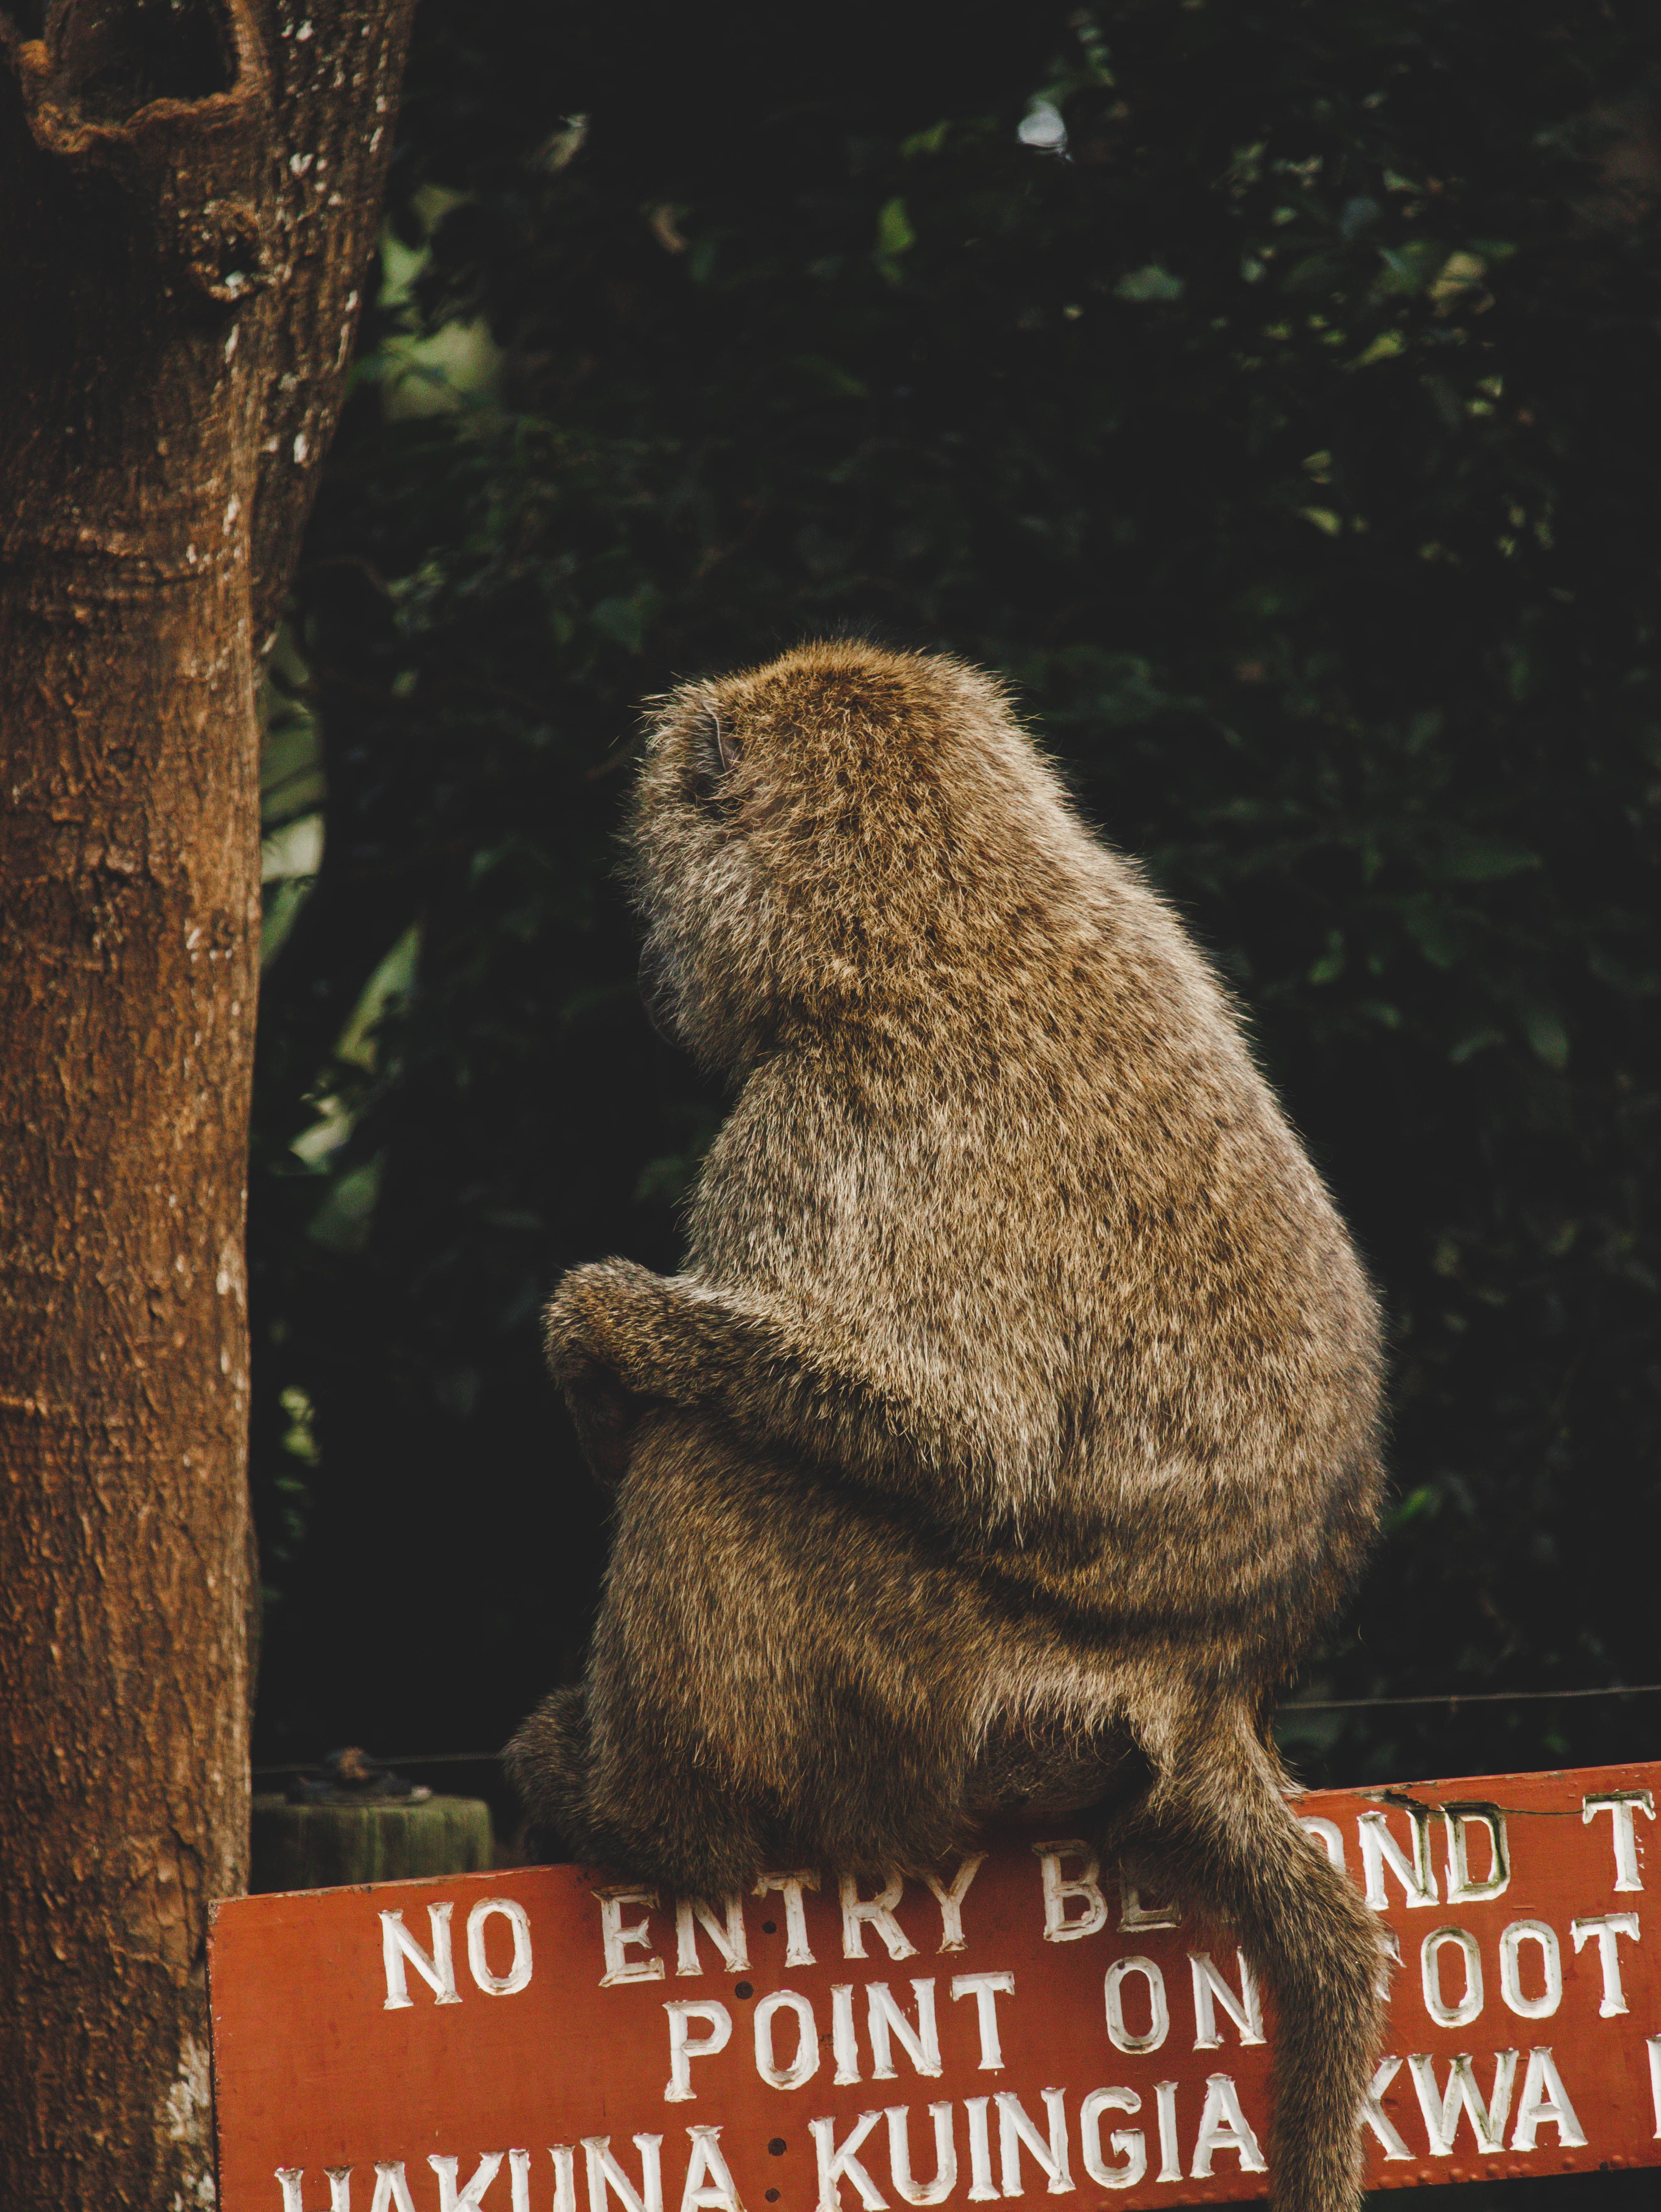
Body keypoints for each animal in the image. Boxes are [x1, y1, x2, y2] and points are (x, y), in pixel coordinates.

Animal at [506, 639, 1387, 2212]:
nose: (657, 960)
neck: (950, 897)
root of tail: (1208, 1686)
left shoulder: (802, 1121)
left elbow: (951, 1439)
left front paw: (599, 1333)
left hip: (952, 1708)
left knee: (715, 1464)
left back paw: (648, 1825)